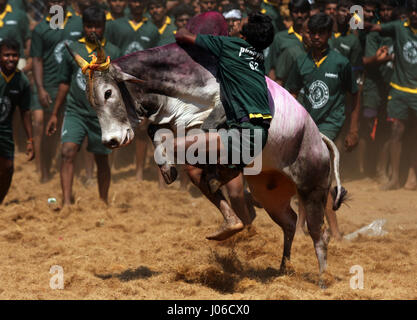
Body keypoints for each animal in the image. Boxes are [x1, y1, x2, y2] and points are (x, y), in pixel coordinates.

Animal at [68, 12, 346, 288]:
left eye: (108, 92)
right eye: (92, 100)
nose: (111, 141)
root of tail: (319, 138)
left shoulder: (216, 111)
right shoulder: (170, 119)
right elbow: (156, 134)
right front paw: (169, 169)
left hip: (312, 189)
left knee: (318, 234)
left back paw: (323, 279)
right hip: (270, 193)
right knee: (289, 222)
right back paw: (281, 267)